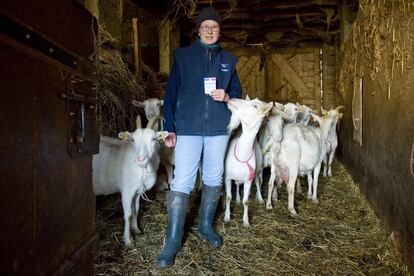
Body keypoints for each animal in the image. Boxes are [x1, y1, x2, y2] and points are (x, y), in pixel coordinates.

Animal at [92, 115, 167, 246]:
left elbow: (135, 209)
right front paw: (128, 240)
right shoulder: (126, 191)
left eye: (153, 139)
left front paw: (136, 229)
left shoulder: (137, 191)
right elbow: (128, 214)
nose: (141, 159)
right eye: (133, 140)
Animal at [223, 97, 274, 226]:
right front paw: (227, 217)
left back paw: (260, 198)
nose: (232, 99)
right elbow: (228, 197)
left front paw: (246, 221)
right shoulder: (227, 177)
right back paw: (237, 199)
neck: (242, 155)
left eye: (255, 106)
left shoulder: (248, 180)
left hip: (258, 169)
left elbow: (246, 201)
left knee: (258, 182)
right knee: (236, 185)